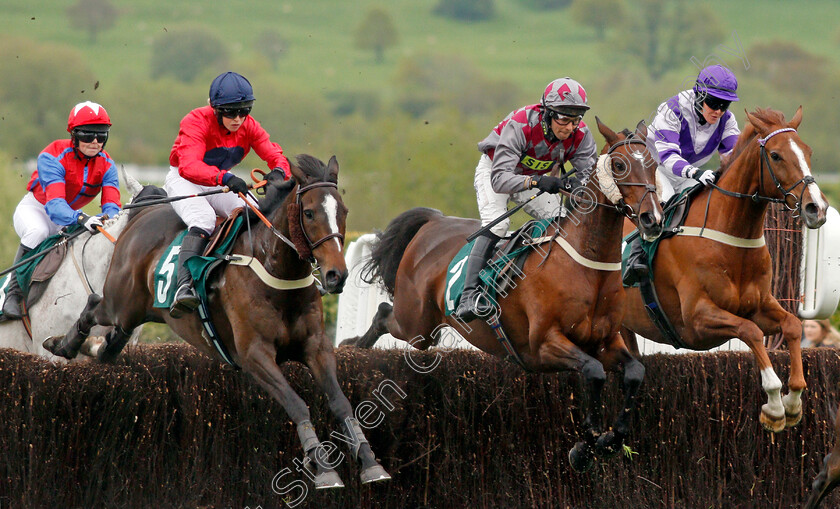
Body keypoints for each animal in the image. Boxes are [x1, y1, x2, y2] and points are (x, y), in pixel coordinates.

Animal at [42, 155, 390, 488]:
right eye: (309, 213)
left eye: (343, 210)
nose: (336, 275)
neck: (276, 273)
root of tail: (142, 215)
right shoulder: (255, 355)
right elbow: (297, 404)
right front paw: (324, 470)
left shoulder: (316, 347)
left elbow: (341, 403)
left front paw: (371, 464)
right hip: (121, 302)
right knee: (93, 307)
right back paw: (62, 344)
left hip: (135, 314)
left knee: (113, 342)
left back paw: (91, 346)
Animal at [346, 117, 664, 470]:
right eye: (620, 165)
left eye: (653, 164)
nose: (652, 218)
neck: (585, 266)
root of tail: (434, 222)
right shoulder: (543, 344)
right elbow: (593, 372)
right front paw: (586, 445)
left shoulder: (606, 341)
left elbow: (634, 373)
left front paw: (608, 440)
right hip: (417, 324)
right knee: (385, 313)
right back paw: (352, 348)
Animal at [620, 107, 832, 432]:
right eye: (775, 155)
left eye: (807, 151)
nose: (816, 208)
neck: (731, 239)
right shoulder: (697, 319)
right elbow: (751, 331)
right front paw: (774, 407)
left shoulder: (759, 305)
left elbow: (793, 325)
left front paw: (793, 402)